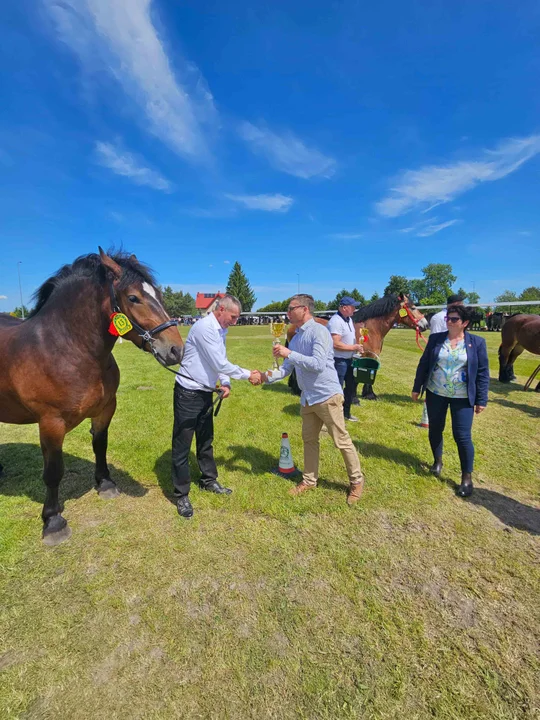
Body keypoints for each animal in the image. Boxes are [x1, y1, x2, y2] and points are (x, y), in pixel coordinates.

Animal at [0, 249, 184, 544]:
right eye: (133, 297)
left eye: (158, 294)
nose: (176, 349)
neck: (68, 349)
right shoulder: (50, 423)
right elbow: (53, 472)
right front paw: (53, 521)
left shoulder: (105, 409)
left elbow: (100, 446)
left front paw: (106, 484)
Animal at [286, 294, 426, 404]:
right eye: (413, 307)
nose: (425, 324)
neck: (371, 330)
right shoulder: (363, 357)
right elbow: (356, 380)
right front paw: (356, 398)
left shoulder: (372, 357)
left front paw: (369, 395)